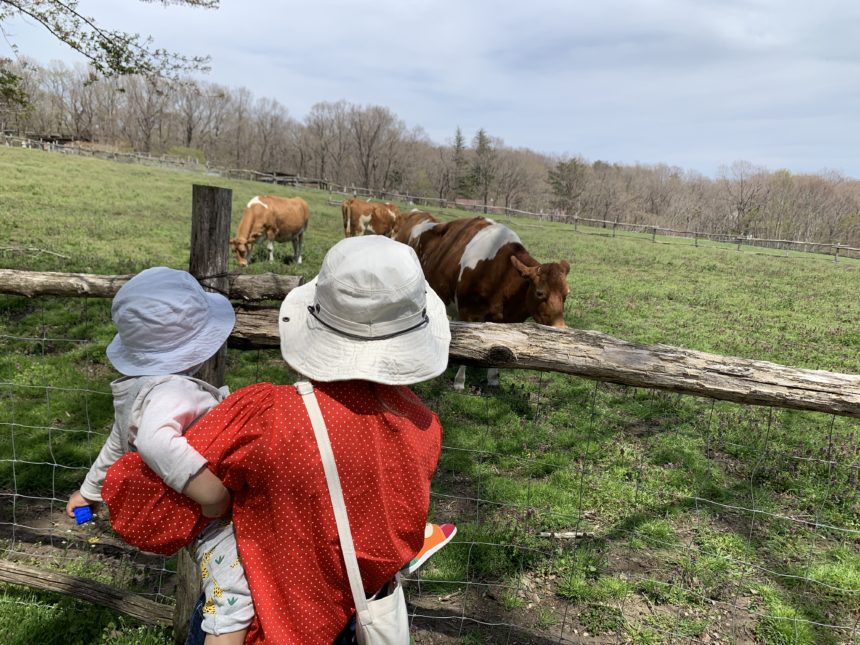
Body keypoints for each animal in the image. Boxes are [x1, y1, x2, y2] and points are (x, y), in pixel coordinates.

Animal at [404, 215, 568, 388]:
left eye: (566, 294)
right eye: (539, 293)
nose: (561, 328)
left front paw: (493, 379)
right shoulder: (469, 314)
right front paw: (459, 382)